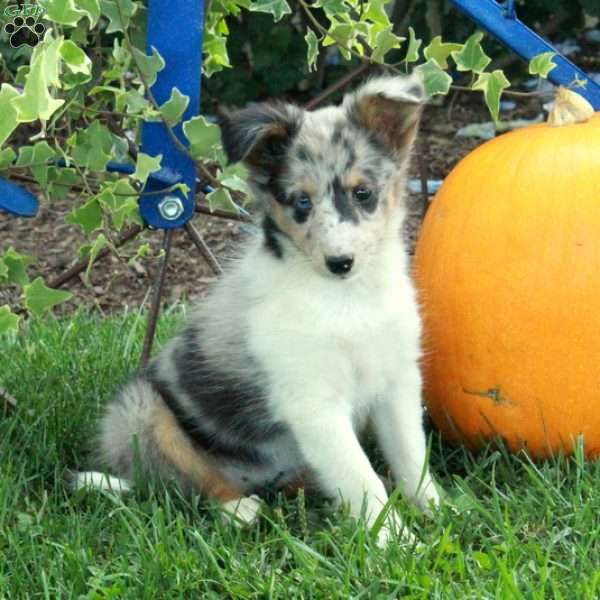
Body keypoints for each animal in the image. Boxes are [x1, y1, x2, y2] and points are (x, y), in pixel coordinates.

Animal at [75, 74, 440, 544]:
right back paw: (239, 509)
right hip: (139, 412)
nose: (340, 262)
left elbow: (411, 456)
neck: (345, 298)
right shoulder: (313, 403)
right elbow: (360, 479)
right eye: (300, 202)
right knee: (189, 482)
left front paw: (440, 511)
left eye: (363, 193)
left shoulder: (396, 381)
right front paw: (397, 541)